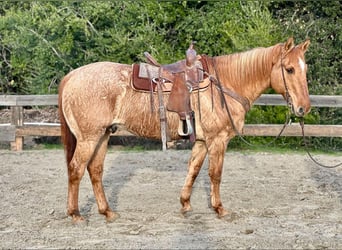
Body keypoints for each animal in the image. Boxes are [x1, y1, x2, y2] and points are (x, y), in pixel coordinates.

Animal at [59, 37, 312, 223]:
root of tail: (71, 76)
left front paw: (185, 204)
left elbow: (194, 170)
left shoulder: (201, 141)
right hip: (89, 138)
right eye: (289, 69)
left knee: (95, 170)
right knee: (76, 169)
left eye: (304, 68)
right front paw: (219, 209)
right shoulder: (218, 140)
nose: (304, 107)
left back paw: (107, 212)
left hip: (103, 135)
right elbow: (215, 174)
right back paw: (76, 214)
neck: (224, 84)